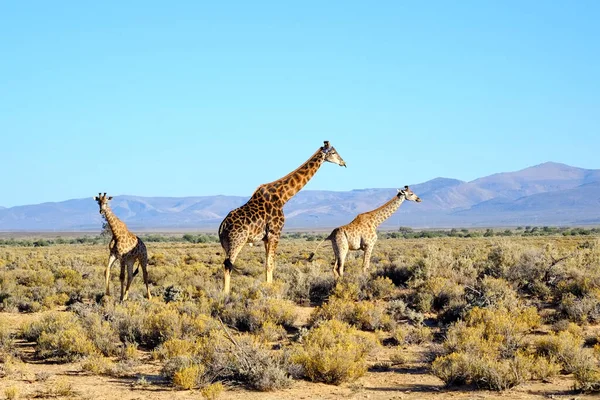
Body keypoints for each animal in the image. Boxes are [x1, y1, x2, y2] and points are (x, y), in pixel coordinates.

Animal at [219, 141, 346, 294]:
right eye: (333, 152)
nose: (344, 163)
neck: (282, 198)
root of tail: (222, 226)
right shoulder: (275, 233)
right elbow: (270, 264)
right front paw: (271, 289)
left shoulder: (266, 237)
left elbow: (267, 264)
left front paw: (268, 286)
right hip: (237, 241)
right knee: (228, 265)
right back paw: (225, 294)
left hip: (225, 244)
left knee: (226, 264)